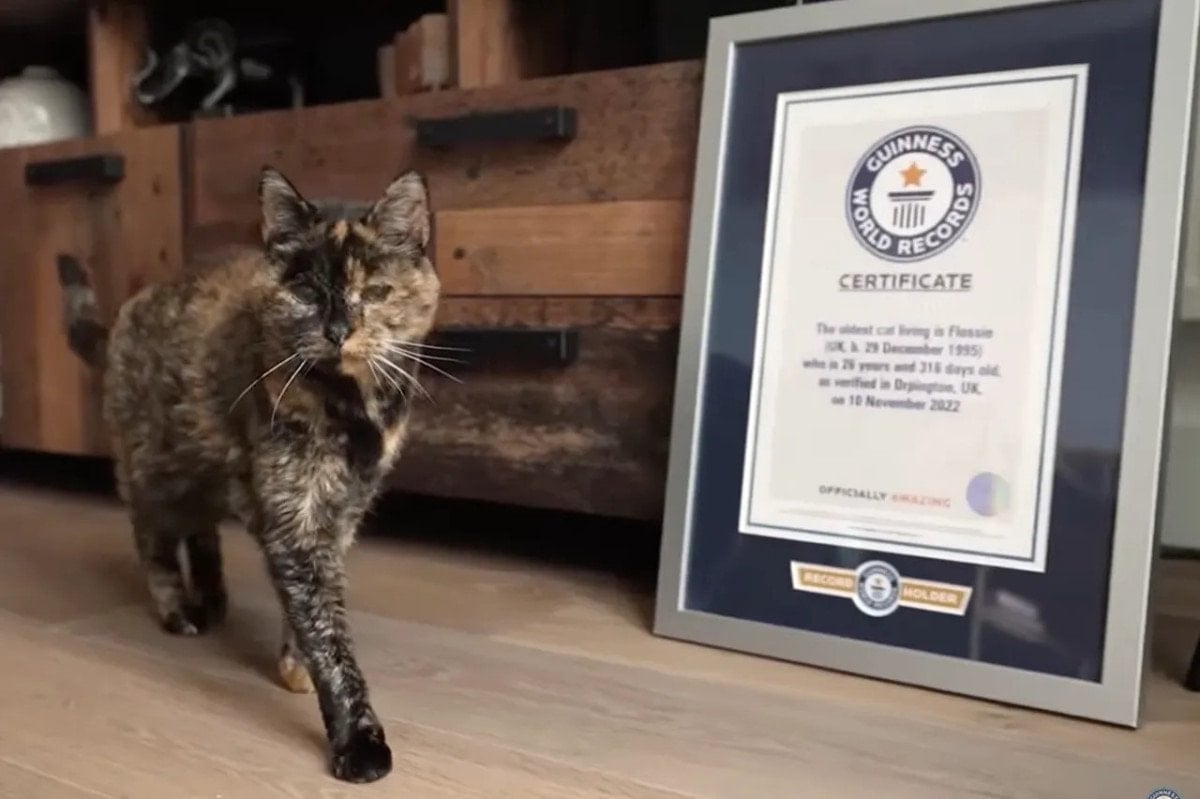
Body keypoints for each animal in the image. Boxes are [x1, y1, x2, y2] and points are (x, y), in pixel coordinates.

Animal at [55, 165, 440, 783]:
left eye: (375, 291)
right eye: (307, 292)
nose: (339, 329)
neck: (353, 411)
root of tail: (127, 311)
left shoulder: (343, 511)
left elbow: (311, 608)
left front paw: (293, 663)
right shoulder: (296, 519)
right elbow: (328, 635)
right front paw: (357, 742)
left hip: (206, 475)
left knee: (201, 531)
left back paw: (213, 598)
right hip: (155, 471)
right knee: (152, 534)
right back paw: (179, 609)